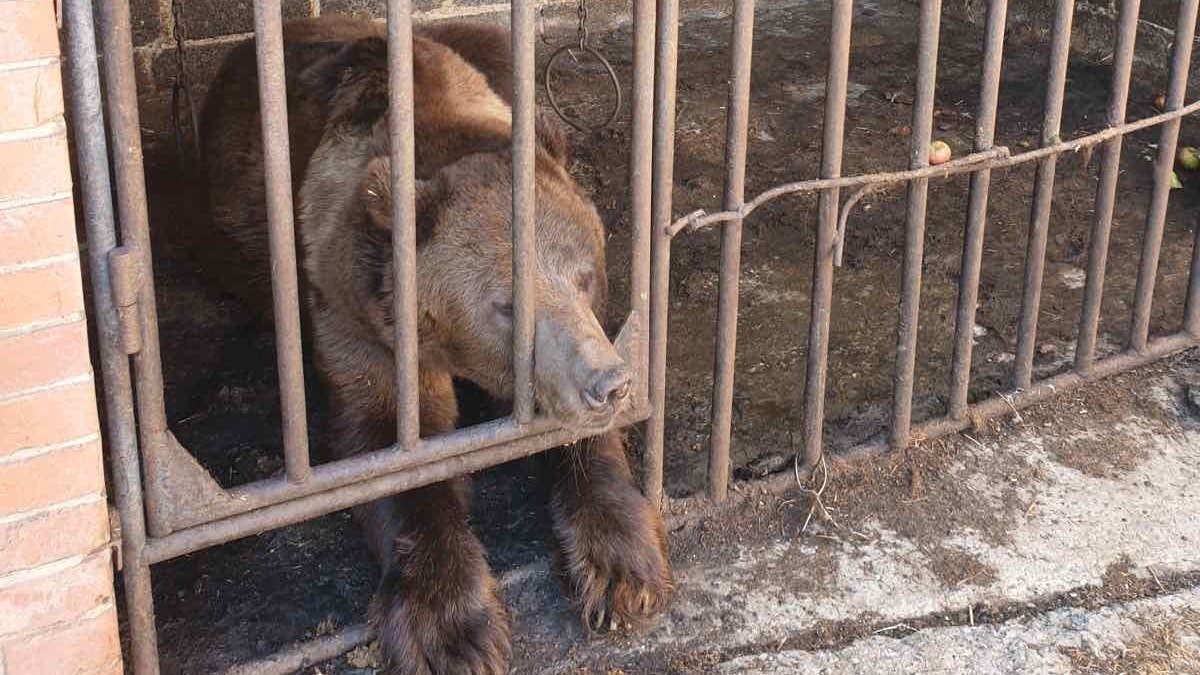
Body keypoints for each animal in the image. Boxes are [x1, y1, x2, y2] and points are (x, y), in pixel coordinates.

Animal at [196, 15, 673, 675]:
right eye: (507, 303)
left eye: (585, 275)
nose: (609, 385)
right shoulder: (354, 309)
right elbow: (394, 443)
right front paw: (454, 633)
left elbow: (581, 439)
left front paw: (623, 569)